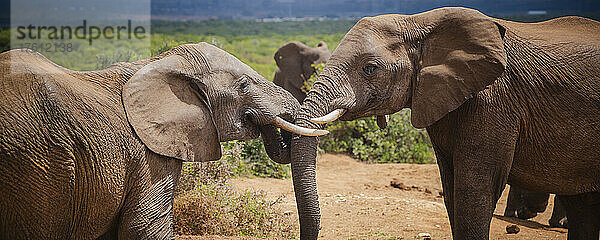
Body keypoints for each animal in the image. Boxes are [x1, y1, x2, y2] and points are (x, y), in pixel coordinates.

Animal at [284, 7, 600, 240]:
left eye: (370, 69)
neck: (419, 22)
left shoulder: (494, 102)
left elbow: (475, 191)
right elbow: (452, 190)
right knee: (583, 206)